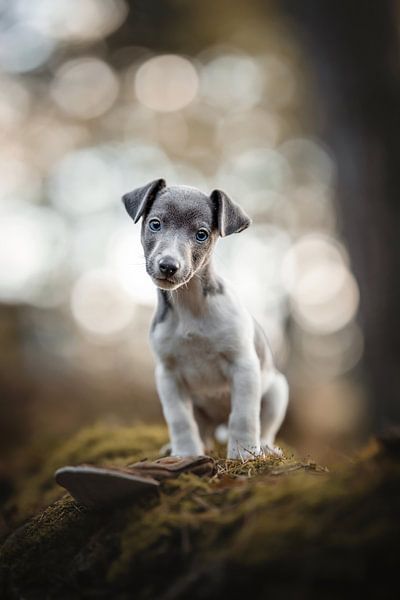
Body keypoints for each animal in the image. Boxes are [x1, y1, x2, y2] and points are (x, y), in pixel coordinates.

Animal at [122, 178, 288, 460]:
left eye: (201, 234)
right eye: (155, 224)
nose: (168, 265)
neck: (189, 308)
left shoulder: (244, 366)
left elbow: (244, 416)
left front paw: (243, 454)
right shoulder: (168, 375)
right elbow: (179, 420)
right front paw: (186, 453)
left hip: (277, 390)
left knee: (264, 426)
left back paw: (265, 447)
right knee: (203, 430)